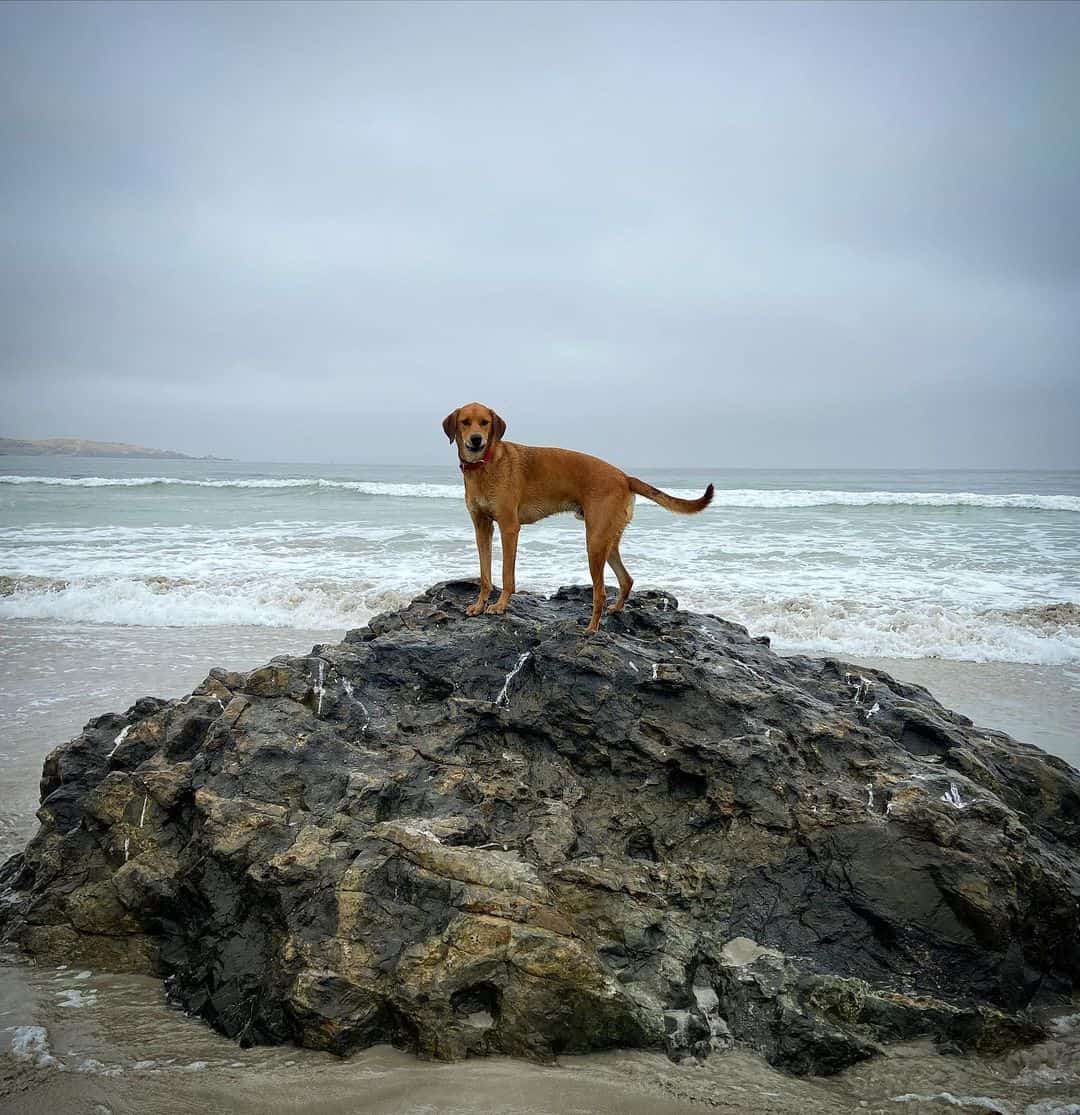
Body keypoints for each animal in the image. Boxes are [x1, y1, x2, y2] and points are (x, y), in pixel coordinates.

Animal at [443, 401, 713, 633]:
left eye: (485, 422)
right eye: (465, 422)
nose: (476, 440)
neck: (483, 465)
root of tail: (624, 477)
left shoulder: (509, 527)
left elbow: (506, 575)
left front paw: (500, 605)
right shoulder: (482, 527)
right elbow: (484, 574)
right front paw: (479, 604)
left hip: (594, 542)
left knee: (600, 593)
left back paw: (591, 630)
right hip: (607, 541)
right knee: (626, 580)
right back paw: (615, 610)